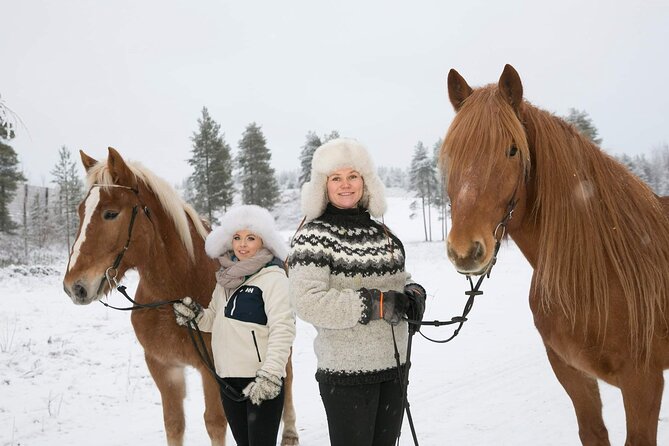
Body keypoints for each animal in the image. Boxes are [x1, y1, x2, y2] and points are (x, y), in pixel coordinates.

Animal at [62, 148, 298, 444]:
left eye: (110, 213)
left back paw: (289, 432)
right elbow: (174, 423)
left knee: (287, 376)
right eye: (80, 211)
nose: (74, 286)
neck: (175, 290)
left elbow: (215, 423)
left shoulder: (213, 372)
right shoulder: (163, 367)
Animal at [440, 64, 668, 444]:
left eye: (512, 150)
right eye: (452, 154)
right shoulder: (573, 373)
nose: (464, 250)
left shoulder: (643, 382)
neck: (596, 271)